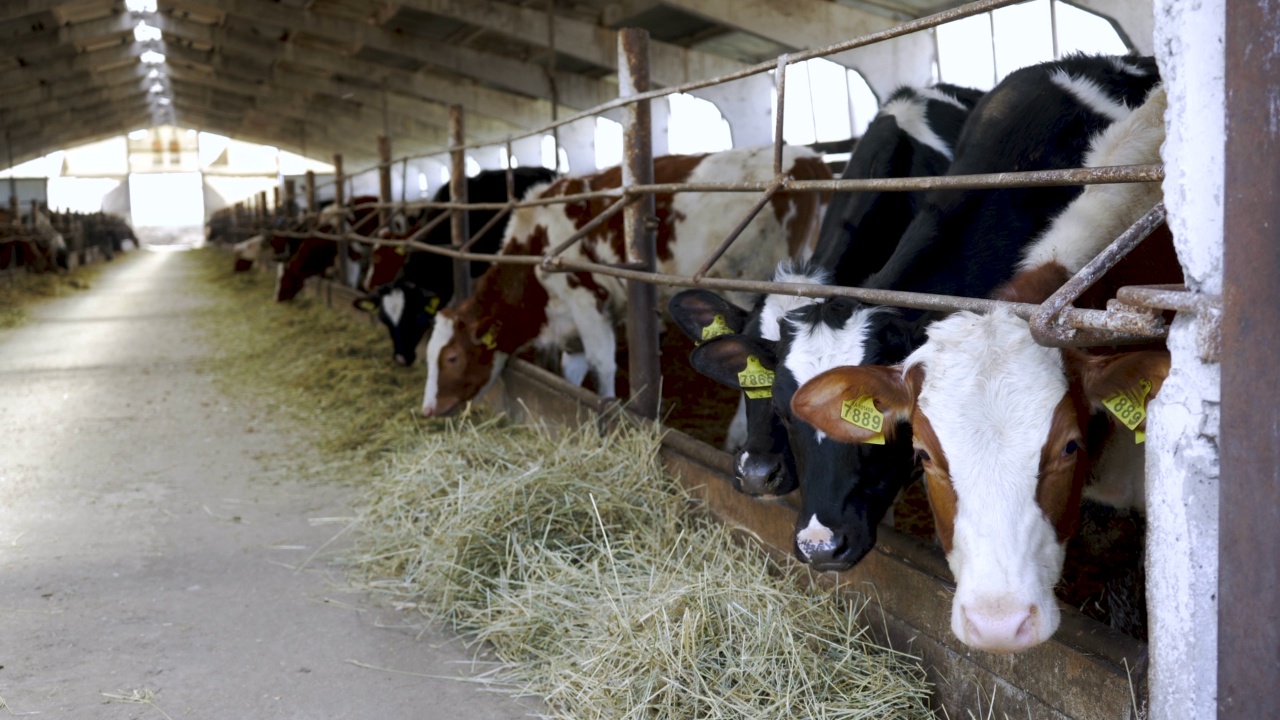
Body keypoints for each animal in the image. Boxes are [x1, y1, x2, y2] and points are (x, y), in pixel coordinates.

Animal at [424, 146, 834, 415]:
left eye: (452, 357)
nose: (428, 409)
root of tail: (808, 158)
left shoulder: (585, 297)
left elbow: (601, 363)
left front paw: (606, 406)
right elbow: (573, 367)